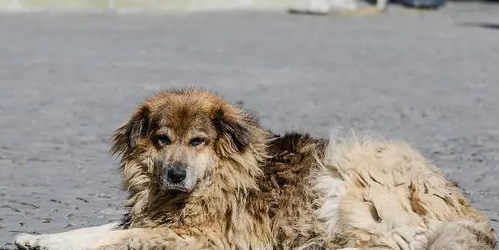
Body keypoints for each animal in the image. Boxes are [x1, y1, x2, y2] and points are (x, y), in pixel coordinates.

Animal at [14, 89, 496, 249]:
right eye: (162, 140)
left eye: (198, 141)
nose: (175, 174)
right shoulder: (153, 216)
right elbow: (88, 231)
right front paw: (35, 238)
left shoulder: (200, 235)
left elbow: (120, 239)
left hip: (349, 172)